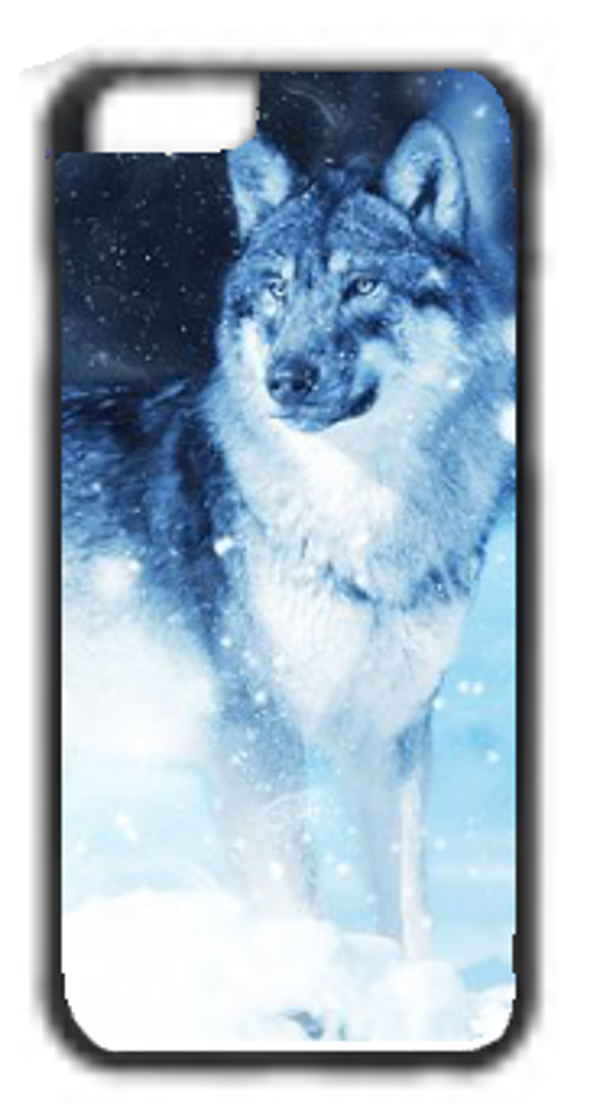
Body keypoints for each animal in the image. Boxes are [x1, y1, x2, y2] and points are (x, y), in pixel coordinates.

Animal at [62, 120, 515, 960]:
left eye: (361, 286)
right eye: (276, 289)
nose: (286, 378)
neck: (366, 524)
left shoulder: (392, 732)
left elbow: (409, 912)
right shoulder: (255, 734)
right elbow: (300, 905)